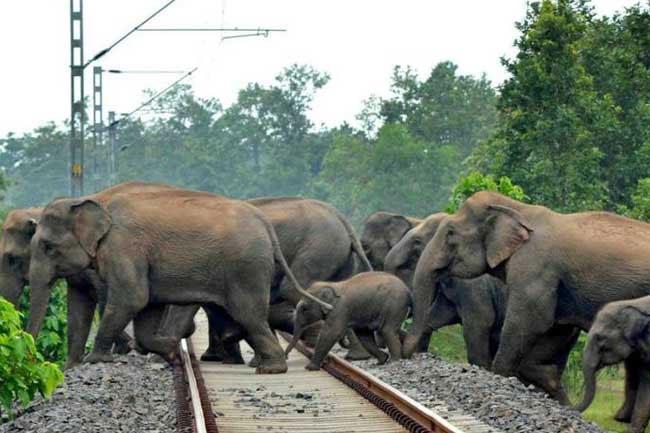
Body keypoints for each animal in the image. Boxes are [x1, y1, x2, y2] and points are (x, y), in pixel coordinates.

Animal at [0, 182, 177, 368]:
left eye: (12, 259)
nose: (30, 361)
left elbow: (106, 299)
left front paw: (126, 346)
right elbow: (77, 304)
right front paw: (70, 366)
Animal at [27, 189, 333, 374]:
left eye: (47, 247)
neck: (93, 198)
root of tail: (265, 224)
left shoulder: (124, 247)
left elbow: (132, 297)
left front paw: (97, 360)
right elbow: (145, 307)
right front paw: (172, 355)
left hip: (246, 268)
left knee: (250, 315)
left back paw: (270, 369)